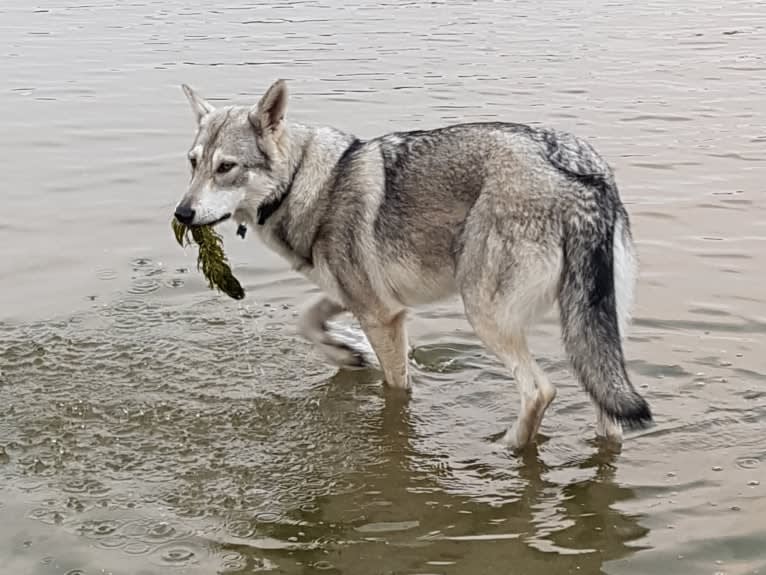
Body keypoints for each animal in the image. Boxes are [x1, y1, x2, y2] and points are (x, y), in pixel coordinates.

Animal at [176, 80, 656, 450]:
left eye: (226, 167)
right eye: (193, 163)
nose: (181, 213)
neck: (304, 183)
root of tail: (580, 177)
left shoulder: (381, 314)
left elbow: (395, 388)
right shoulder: (367, 300)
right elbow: (306, 319)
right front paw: (346, 351)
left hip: (486, 315)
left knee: (540, 391)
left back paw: (508, 447)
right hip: (591, 339)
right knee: (607, 417)